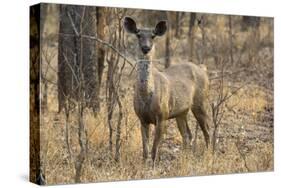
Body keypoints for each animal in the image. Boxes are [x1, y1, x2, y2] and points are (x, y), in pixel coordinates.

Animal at [123, 16, 209, 166]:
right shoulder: (142, 118)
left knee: (207, 130)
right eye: (138, 35)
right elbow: (145, 151)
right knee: (187, 135)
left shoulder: (162, 116)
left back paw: (210, 154)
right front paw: (144, 166)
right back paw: (185, 158)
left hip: (200, 102)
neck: (147, 96)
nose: (146, 48)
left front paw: (153, 166)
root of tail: (203, 68)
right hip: (181, 112)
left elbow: (154, 150)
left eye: (153, 36)